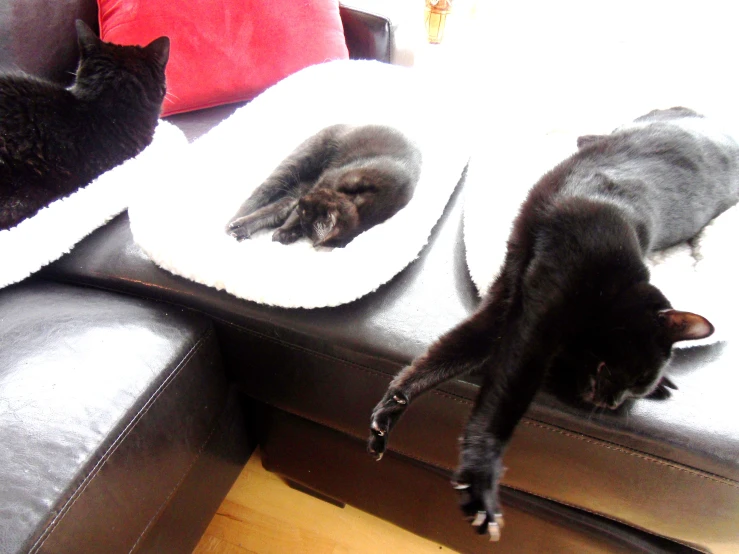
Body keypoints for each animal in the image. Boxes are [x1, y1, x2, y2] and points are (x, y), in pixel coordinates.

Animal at [225, 125, 422, 248]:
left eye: (306, 212)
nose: (301, 202)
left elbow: (289, 215)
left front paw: (288, 233)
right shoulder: (329, 179)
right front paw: (285, 231)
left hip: (300, 185)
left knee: (278, 208)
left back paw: (239, 229)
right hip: (295, 165)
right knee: (260, 195)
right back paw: (232, 224)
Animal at [368, 106, 736, 540]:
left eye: (635, 390)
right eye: (635, 375)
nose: (613, 403)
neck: (616, 285)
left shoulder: (508, 303)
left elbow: (444, 356)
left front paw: (391, 407)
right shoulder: (539, 314)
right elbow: (502, 402)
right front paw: (481, 482)